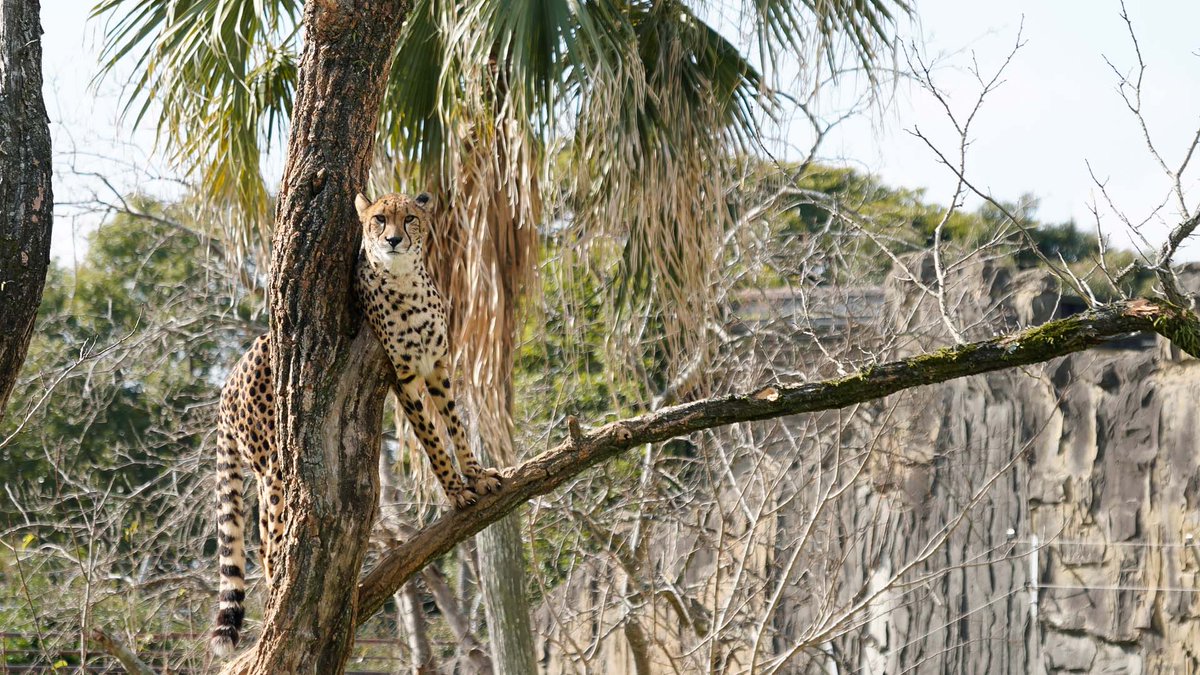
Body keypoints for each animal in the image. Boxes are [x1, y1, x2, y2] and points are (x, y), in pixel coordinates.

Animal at [209, 191, 502, 656]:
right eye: (379, 219)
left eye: (410, 218)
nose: (394, 240)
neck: (405, 281)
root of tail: (227, 382)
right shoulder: (402, 377)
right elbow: (433, 441)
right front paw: (456, 492)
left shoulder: (438, 367)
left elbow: (455, 426)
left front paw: (476, 476)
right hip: (274, 466)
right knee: (268, 541)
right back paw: (277, 602)